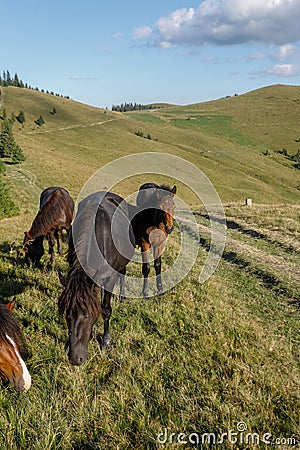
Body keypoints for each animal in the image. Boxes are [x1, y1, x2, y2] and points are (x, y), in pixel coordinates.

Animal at [57, 190, 135, 366]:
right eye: (67, 314)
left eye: (87, 314)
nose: (75, 359)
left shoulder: (110, 277)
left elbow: (105, 309)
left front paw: (105, 341)